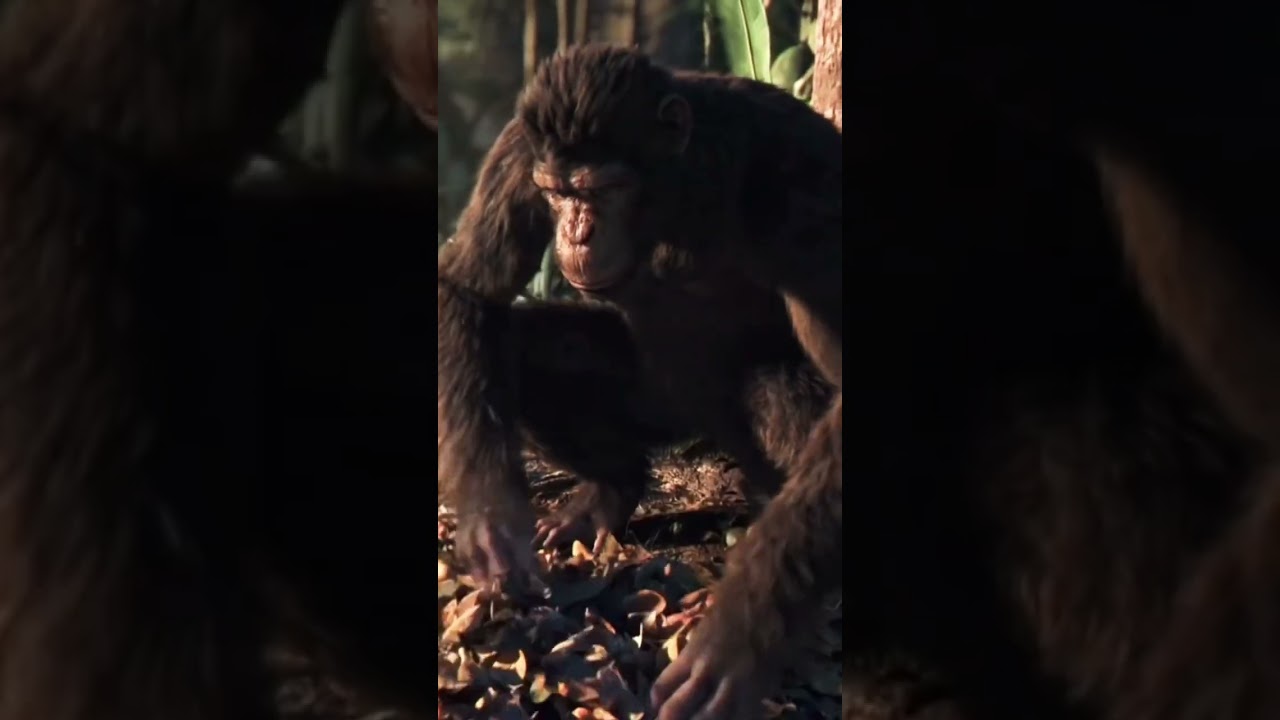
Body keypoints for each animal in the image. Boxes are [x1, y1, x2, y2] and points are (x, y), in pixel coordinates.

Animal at [435, 44, 842, 720]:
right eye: (558, 194)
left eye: (603, 190)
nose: (576, 230)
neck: (672, 192)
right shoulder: (519, 154)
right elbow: (471, 286)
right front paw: (493, 526)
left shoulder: (801, 179)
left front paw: (736, 639)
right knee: (520, 346)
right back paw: (607, 493)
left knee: (781, 398)